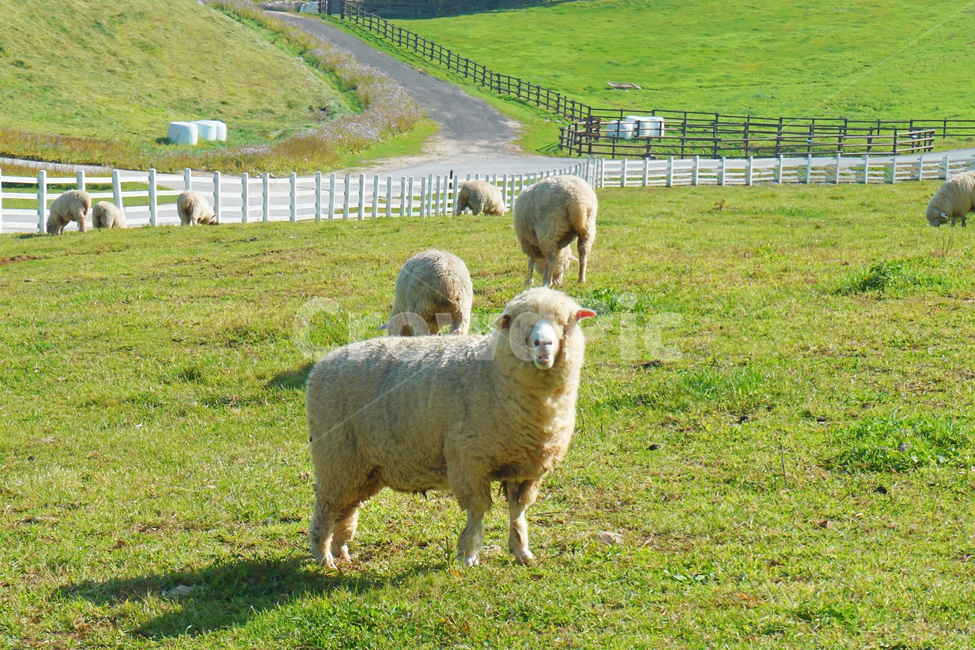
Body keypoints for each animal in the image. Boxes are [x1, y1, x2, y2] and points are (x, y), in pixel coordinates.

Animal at [306, 287, 597, 568]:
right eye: (519, 323)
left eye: (565, 323)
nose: (543, 345)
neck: (495, 376)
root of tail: (322, 365)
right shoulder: (470, 461)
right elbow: (477, 511)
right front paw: (468, 555)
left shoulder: (524, 468)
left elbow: (518, 511)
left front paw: (521, 551)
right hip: (335, 457)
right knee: (327, 506)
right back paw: (323, 555)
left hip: (363, 468)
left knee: (346, 507)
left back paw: (341, 549)